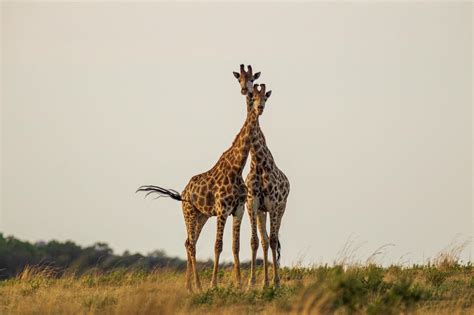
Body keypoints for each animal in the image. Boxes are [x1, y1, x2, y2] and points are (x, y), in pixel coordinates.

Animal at [136, 66, 262, 292]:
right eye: (239, 79)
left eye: (251, 79)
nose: (245, 91)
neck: (237, 166)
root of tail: (183, 193)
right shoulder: (222, 209)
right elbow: (218, 246)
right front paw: (214, 284)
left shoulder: (237, 209)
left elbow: (235, 246)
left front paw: (239, 284)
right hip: (190, 213)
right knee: (191, 244)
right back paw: (197, 286)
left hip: (202, 216)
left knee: (189, 243)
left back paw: (190, 286)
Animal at [232, 68, 288, 288]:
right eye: (239, 78)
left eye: (265, 97)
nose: (260, 107)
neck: (258, 163)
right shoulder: (252, 203)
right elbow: (255, 242)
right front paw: (252, 282)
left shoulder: (273, 204)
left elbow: (272, 241)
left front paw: (276, 282)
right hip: (262, 212)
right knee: (265, 241)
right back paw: (264, 280)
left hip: (280, 209)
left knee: (274, 239)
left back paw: (273, 280)